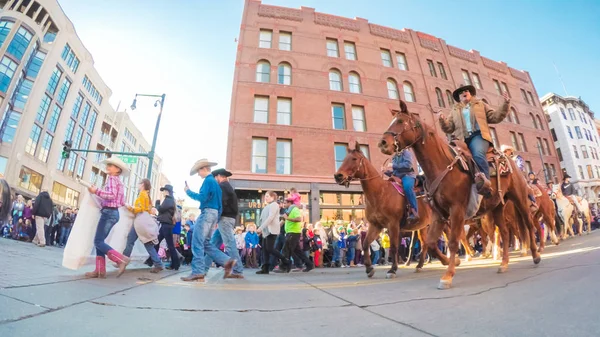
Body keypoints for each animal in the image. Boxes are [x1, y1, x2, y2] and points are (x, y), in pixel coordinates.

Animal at [332, 140, 450, 276]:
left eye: (354, 158)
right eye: (344, 159)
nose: (338, 176)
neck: (380, 193)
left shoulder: (393, 225)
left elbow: (394, 247)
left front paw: (393, 269)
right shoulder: (376, 225)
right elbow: (366, 243)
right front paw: (369, 268)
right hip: (424, 226)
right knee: (426, 244)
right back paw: (421, 265)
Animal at [380, 100, 544, 288]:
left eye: (400, 121)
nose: (383, 142)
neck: (441, 166)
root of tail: (508, 160)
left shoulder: (456, 209)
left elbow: (452, 242)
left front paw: (448, 275)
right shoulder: (438, 213)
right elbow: (430, 242)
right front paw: (449, 263)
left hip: (519, 199)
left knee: (529, 225)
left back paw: (535, 255)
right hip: (497, 207)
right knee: (504, 232)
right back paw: (503, 264)